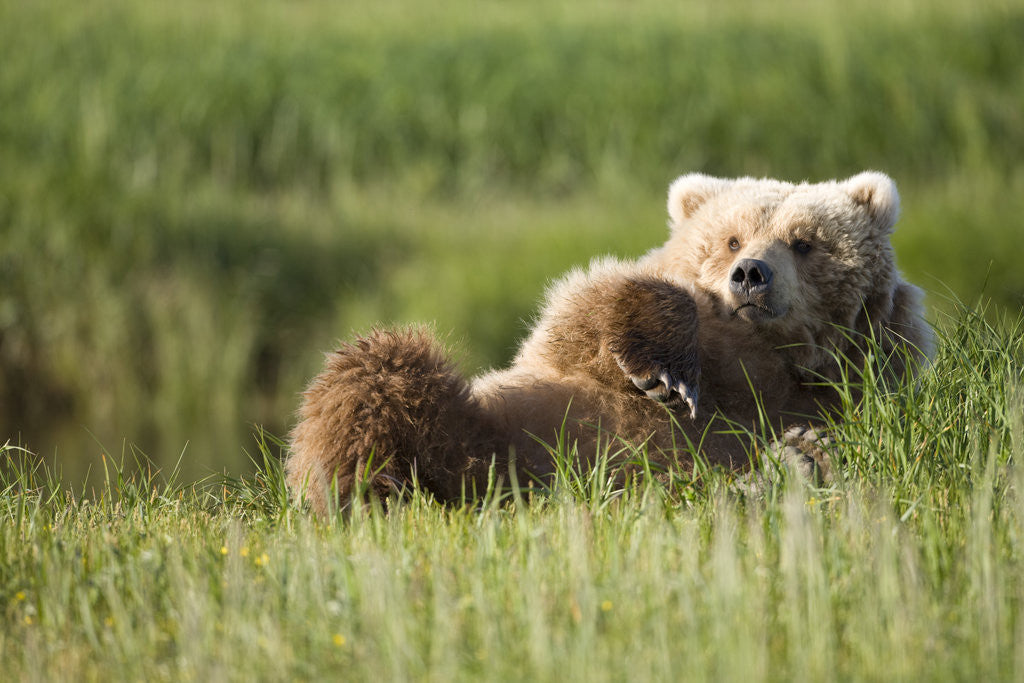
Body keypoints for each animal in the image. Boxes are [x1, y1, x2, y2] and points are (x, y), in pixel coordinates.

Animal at [286, 171, 934, 513]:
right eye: (730, 238)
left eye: (803, 242)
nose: (751, 274)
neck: (764, 361)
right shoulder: (565, 362)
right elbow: (582, 311)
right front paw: (666, 374)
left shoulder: (848, 387)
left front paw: (806, 448)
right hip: (476, 428)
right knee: (380, 371)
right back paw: (366, 494)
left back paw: (792, 463)